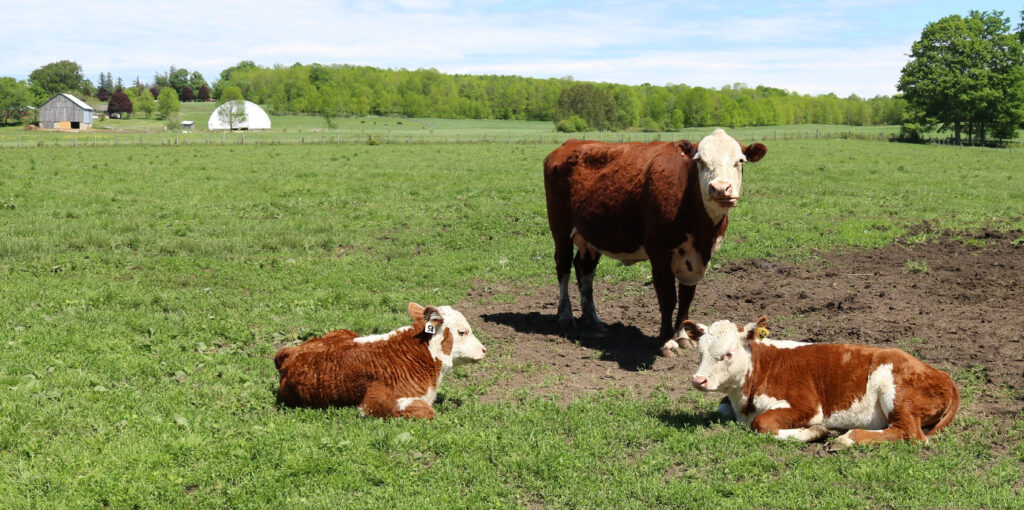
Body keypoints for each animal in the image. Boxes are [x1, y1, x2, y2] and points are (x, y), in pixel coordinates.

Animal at [543, 129, 767, 356]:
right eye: (700, 160)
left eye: (740, 161)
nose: (720, 189)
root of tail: (570, 143)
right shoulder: (659, 253)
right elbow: (668, 297)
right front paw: (667, 341)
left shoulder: (696, 260)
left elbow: (686, 298)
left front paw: (683, 336)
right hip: (560, 228)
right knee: (563, 267)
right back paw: (566, 316)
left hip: (592, 235)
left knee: (584, 268)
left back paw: (593, 320)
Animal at [686, 316, 959, 448]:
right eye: (699, 353)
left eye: (728, 354)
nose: (698, 380)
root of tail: (943, 375)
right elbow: (722, 407)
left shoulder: (807, 405)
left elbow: (762, 424)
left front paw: (816, 431)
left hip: (895, 391)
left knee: (911, 434)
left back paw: (846, 439)